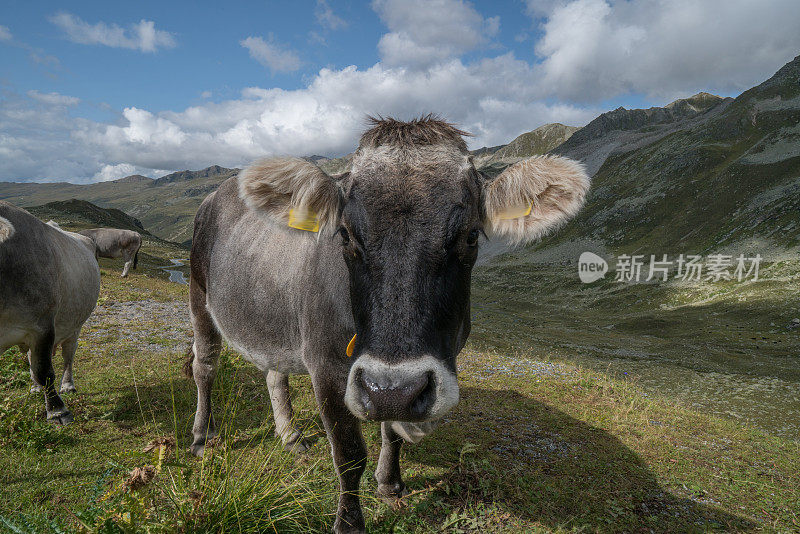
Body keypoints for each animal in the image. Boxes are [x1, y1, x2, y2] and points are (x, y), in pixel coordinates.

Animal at [0, 203, 101, 426]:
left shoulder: (42, 326)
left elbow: (44, 370)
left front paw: (57, 411)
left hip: (74, 326)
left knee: (68, 355)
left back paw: (68, 385)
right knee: (31, 358)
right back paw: (36, 388)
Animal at [186, 116, 588, 532]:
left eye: (471, 235)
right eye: (344, 234)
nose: (394, 389)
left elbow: (393, 428)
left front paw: (389, 483)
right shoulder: (328, 367)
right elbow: (349, 455)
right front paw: (349, 522)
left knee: (274, 373)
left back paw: (290, 436)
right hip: (199, 294)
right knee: (205, 366)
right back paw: (202, 436)